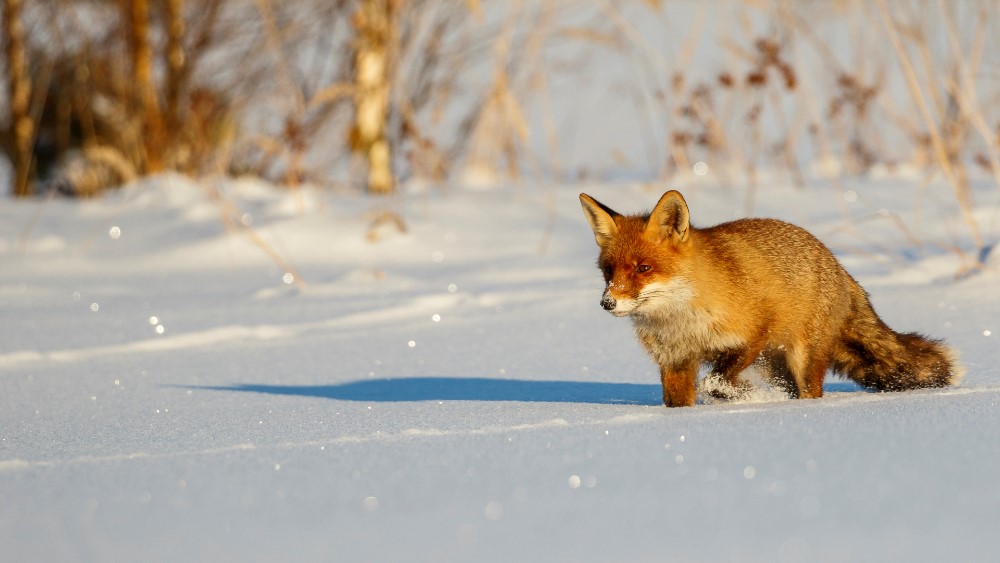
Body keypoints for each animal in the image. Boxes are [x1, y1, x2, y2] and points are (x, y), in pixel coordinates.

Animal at [580, 192, 960, 408]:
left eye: (644, 268)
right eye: (608, 271)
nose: (607, 303)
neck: (684, 322)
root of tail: (838, 266)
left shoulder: (751, 336)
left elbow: (716, 382)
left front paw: (747, 397)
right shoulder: (675, 362)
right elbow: (682, 401)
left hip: (801, 358)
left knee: (810, 393)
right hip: (775, 364)